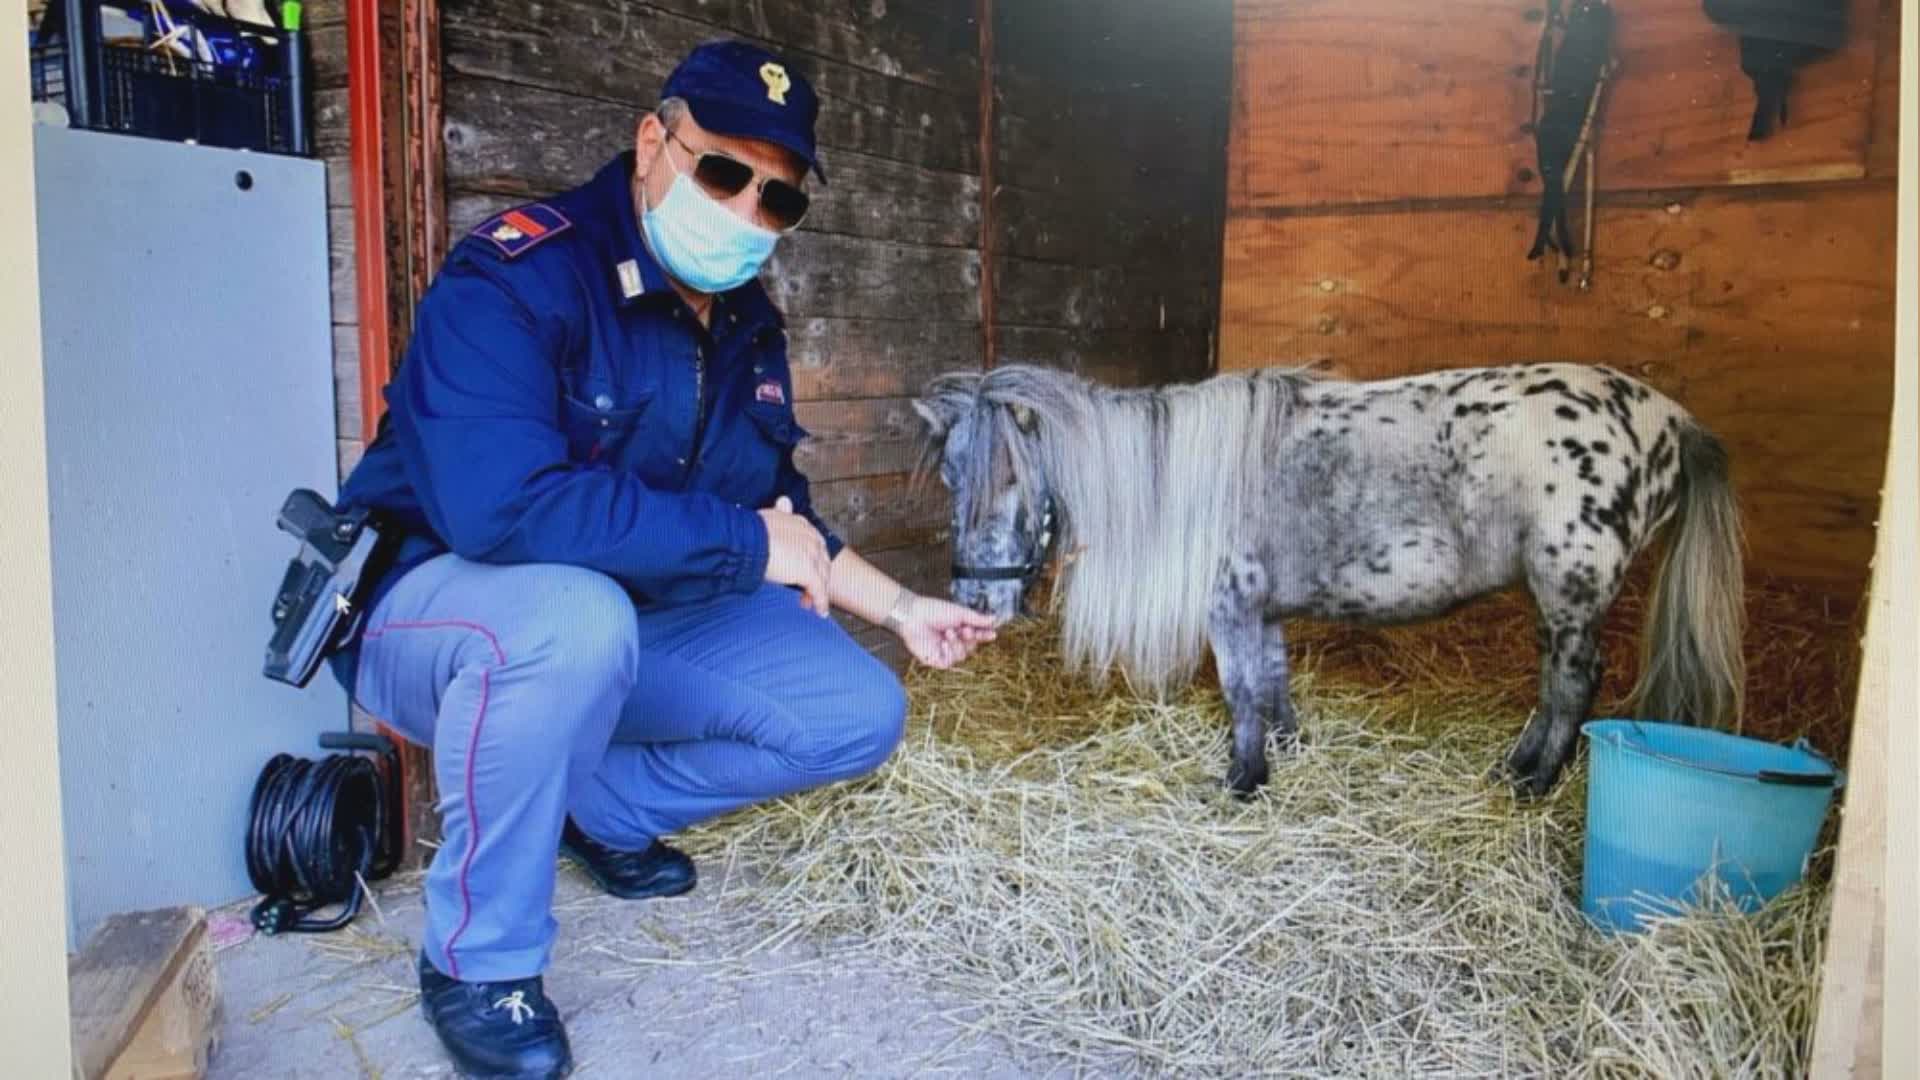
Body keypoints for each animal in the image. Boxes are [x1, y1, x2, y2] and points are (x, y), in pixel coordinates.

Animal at [906, 361, 1751, 799]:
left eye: (1009, 480)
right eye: (950, 478)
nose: (975, 598)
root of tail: (1670, 421)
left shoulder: (1230, 612)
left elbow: (1241, 692)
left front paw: (1242, 780)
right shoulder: (1262, 612)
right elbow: (1273, 683)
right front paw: (1284, 750)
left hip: (1570, 591)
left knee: (1575, 682)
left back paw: (1536, 781)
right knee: (1554, 681)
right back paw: (1518, 765)